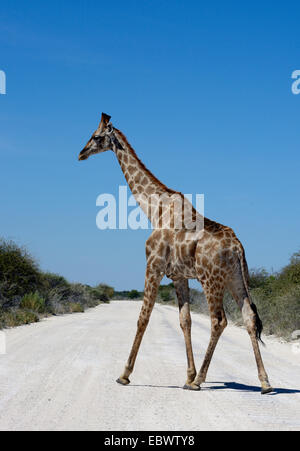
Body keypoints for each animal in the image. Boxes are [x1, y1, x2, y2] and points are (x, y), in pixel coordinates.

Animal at [78, 114, 274, 396]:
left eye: (96, 136)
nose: (81, 153)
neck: (154, 209)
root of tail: (238, 247)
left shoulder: (153, 265)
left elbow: (143, 318)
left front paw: (124, 374)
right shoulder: (179, 276)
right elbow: (185, 321)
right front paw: (187, 374)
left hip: (211, 280)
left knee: (219, 320)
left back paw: (200, 380)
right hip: (236, 278)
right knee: (249, 318)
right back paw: (265, 383)